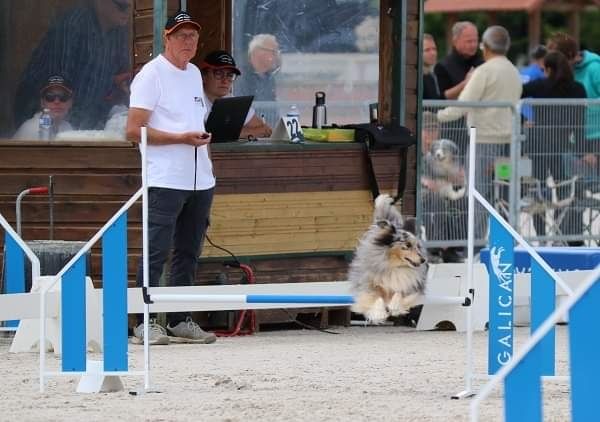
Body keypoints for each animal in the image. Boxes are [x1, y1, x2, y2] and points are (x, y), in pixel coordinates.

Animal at [346, 194, 426, 324]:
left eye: (417, 246)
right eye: (407, 245)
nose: (423, 260)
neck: (394, 266)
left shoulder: (409, 285)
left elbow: (400, 293)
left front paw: (395, 307)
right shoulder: (370, 283)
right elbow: (376, 296)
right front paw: (378, 314)